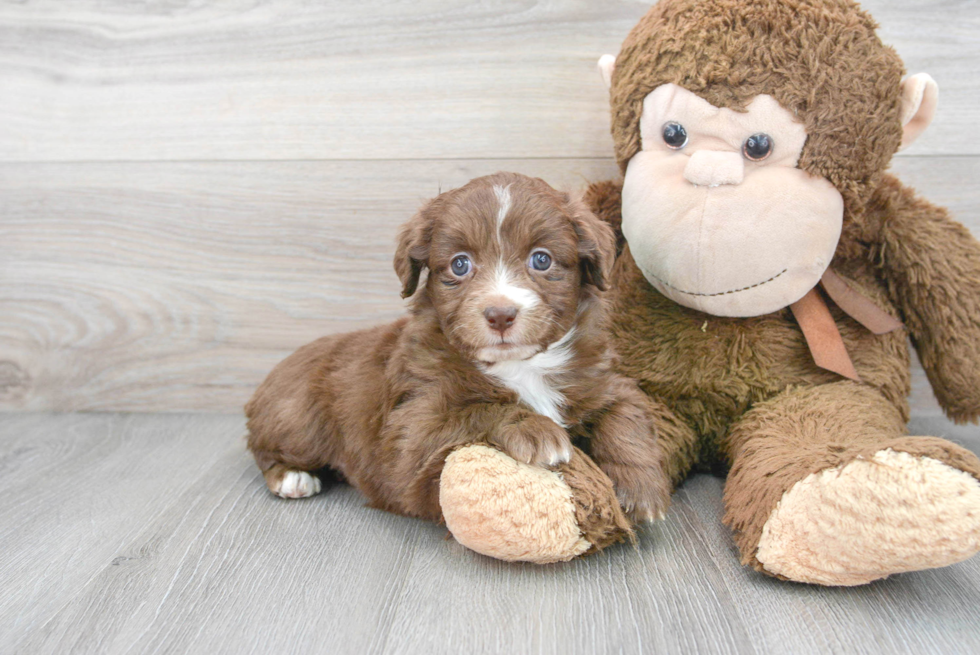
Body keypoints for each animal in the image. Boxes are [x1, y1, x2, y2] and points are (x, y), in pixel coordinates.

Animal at [247, 173, 668, 524]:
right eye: (460, 264)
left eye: (541, 259)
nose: (500, 314)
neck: (519, 367)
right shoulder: (410, 434)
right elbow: (475, 410)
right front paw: (534, 427)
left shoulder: (602, 381)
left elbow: (626, 415)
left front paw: (640, 489)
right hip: (296, 420)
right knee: (262, 448)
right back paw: (291, 477)